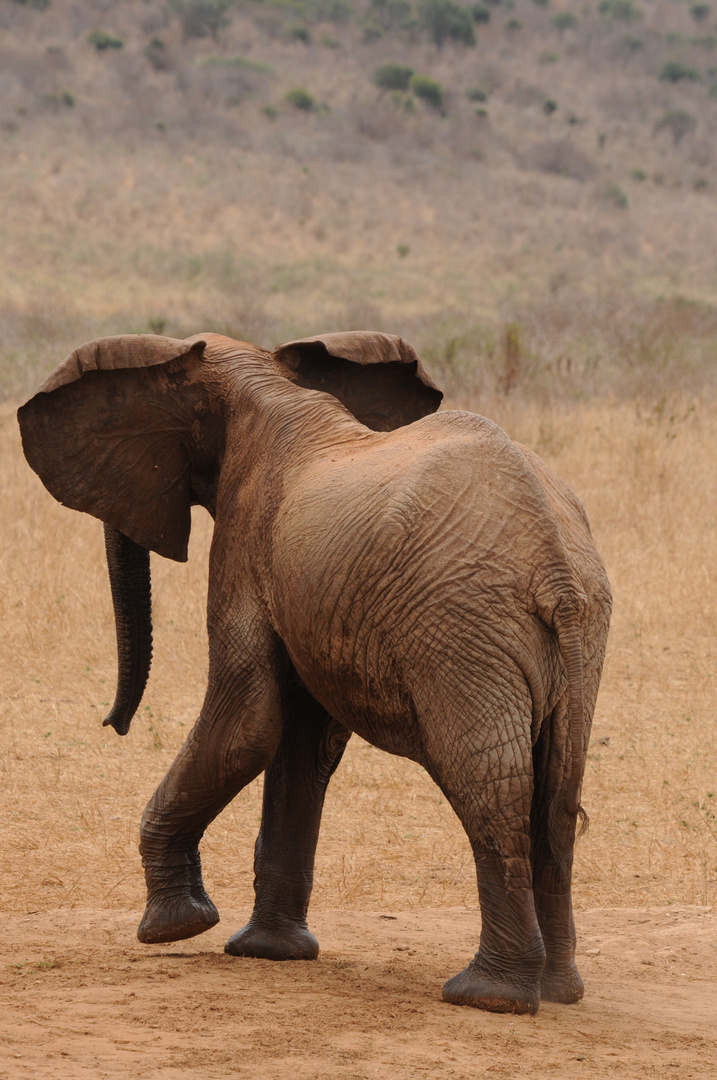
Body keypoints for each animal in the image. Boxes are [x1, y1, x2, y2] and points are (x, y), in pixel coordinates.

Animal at [18, 326, 609, 1010]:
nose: (111, 723)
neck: (260, 379)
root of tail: (553, 563)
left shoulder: (244, 541)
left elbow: (248, 726)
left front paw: (176, 928)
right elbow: (301, 743)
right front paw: (268, 953)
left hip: (462, 632)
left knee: (489, 784)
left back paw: (486, 996)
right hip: (581, 633)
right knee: (558, 793)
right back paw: (560, 991)